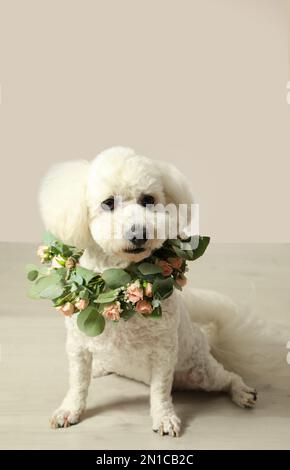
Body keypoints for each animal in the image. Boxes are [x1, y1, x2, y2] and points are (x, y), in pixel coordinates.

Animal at [39, 148, 258, 436]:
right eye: (108, 202)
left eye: (148, 200)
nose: (139, 233)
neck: (121, 282)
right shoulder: (78, 346)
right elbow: (77, 384)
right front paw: (69, 410)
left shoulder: (164, 350)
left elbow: (161, 392)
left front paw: (164, 417)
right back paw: (100, 367)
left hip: (200, 370)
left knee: (228, 377)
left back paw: (241, 392)